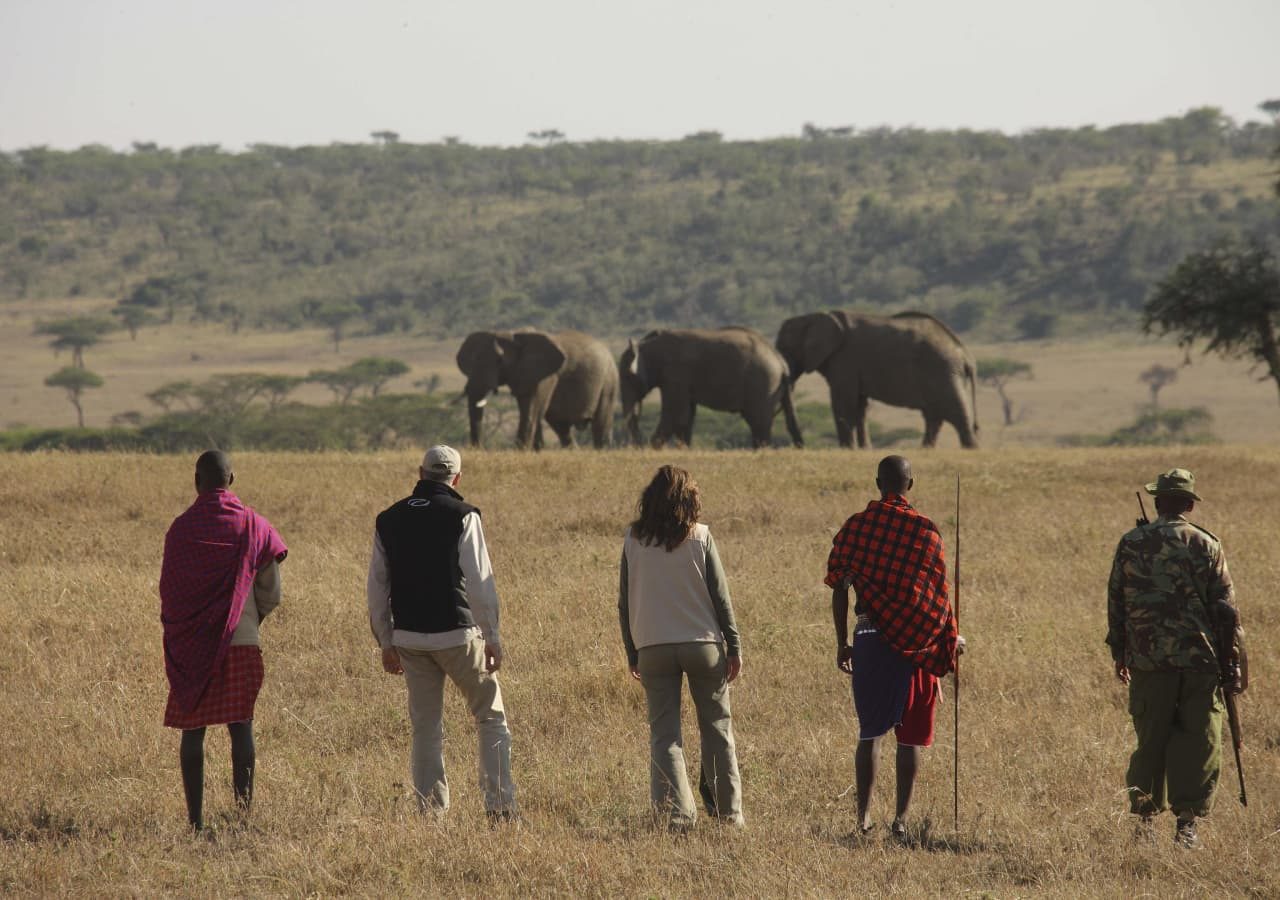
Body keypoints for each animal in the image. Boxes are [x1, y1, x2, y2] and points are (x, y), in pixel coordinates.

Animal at [458, 327, 616, 450]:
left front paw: (521, 451)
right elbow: (533, 410)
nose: (478, 448)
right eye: (472, 360)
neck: (512, 335)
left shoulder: (545, 376)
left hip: (608, 379)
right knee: (560, 425)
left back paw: (600, 451)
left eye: (500, 361)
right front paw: (536, 450)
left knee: (600, 423)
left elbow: (531, 409)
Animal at [616, 327, 798, 450]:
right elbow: (686, 415)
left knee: (759, 423)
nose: (638, 445)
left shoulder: (676, 374)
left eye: (627, 377)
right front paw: (683, 450)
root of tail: (781, 362)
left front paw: (653, 448)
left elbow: (676, 413)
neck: (647, 344)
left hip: (762, 385)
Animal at [768, 313, 977, 450]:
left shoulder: (845, 360)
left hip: (943, 370)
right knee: (934, 416)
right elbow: (860, 406)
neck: (813, 316)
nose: (800, 446)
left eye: (785, 349)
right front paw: (863, 450)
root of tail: (965, 353)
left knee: (956, 412)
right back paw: (925, 450)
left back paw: (970, 450)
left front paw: (847, 450)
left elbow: (844, 403)